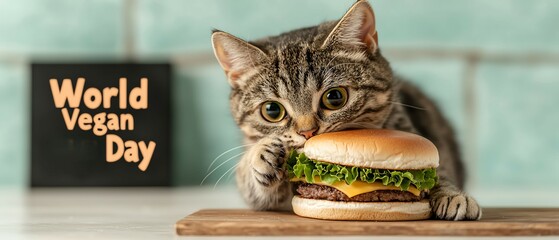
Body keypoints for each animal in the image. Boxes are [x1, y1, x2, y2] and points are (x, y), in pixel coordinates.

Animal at [210, 0, 482, 221]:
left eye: (334, 97)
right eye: (272, 111)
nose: (307, 132)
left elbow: (440, 174)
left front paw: (453, 195)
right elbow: (254, 187)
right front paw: (260, 156)